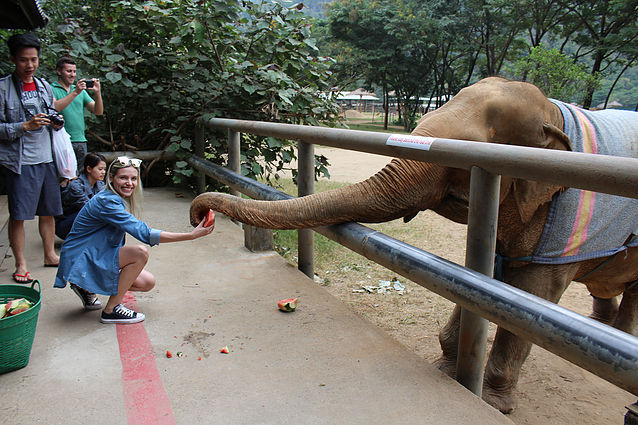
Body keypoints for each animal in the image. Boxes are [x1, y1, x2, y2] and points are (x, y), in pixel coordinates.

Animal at [191, 77, 638, 414]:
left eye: (463, 159)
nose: (199, 215)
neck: (554, 113)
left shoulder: (563, 220)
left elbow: (532, 296)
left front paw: (493, 403)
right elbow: (481, 283)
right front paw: (446, 370)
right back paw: (603, 327)